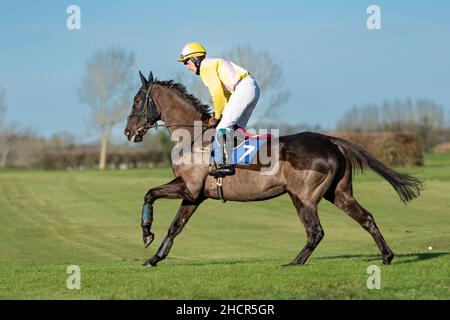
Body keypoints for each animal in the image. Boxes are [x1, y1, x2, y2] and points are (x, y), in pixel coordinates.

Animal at [123, 72, 422, 268]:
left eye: (137, 100)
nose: (127, 132)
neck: (194, 136)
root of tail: (330, 141)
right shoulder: (196, 194)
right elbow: (175, 226)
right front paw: (154, 257)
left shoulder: (189, 187)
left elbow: (150, 193)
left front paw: (146, 234)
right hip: (338, 193)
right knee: (366, 218)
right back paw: (387, 256)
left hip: (303, 196)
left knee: (316, 231)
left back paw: (295, 262)